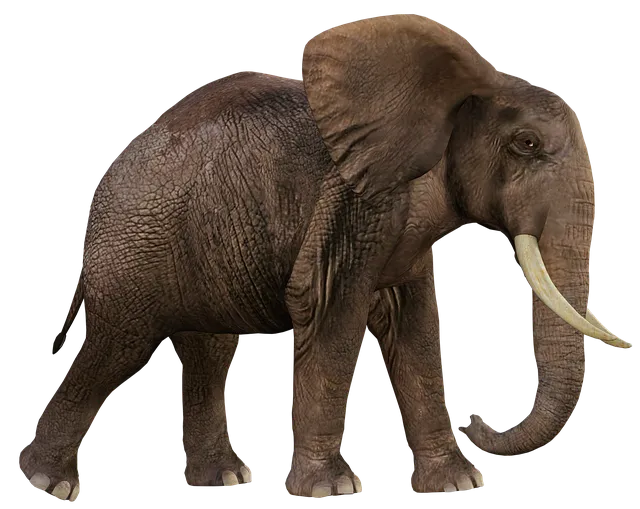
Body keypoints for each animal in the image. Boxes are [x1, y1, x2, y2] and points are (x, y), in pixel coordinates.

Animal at [17, 13, 630, 502]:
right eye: (526, 144)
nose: (481, 417)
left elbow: (414, 326)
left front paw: (457, 485)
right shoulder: (351, 202)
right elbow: (330, 311)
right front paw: (333, 490)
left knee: (209, 348)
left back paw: (224, 479)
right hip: (135, 248)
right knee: (117, 348)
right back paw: (51, 485)